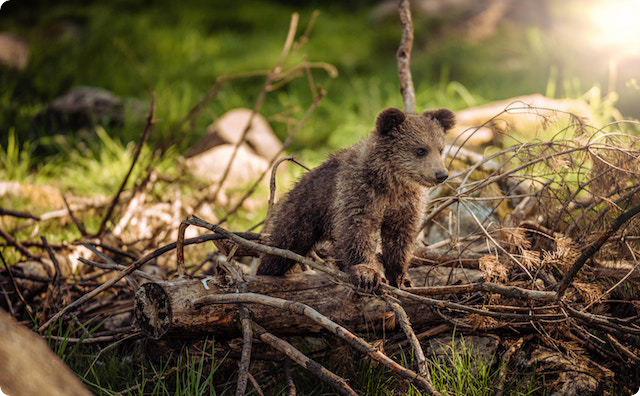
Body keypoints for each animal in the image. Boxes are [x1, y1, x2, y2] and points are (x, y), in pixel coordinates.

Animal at [258, 106, 452, 290]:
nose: (441, 174)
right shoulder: (359, 192)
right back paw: (266, 270)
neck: (391, 183)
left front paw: (401, 277)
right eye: (420, 150)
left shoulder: (405, 204)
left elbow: (399, 237)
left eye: (440, 149)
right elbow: (357, 230)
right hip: (303, 211)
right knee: (283, 245)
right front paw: (367, 274)